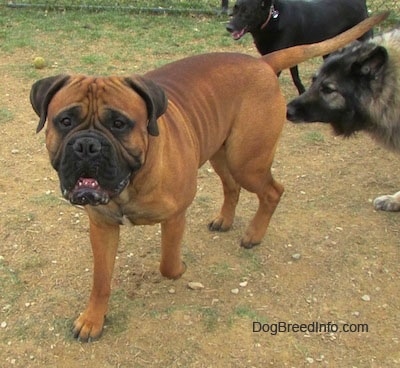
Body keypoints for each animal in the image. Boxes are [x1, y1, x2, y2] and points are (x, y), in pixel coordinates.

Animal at [29, 14, 386, 342]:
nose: (87, 145)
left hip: (247, 160)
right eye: (64, 121)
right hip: (221, 153)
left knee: (272, 191)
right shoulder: (102, 227)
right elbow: (101, 279)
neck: (131, 183)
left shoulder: (175, 217)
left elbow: (167, 264)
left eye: (119, 124)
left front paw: (180, 269)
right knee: (232, 187)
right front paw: (92, 319)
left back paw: (253, 235)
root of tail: (262, 63)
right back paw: (225, 220)